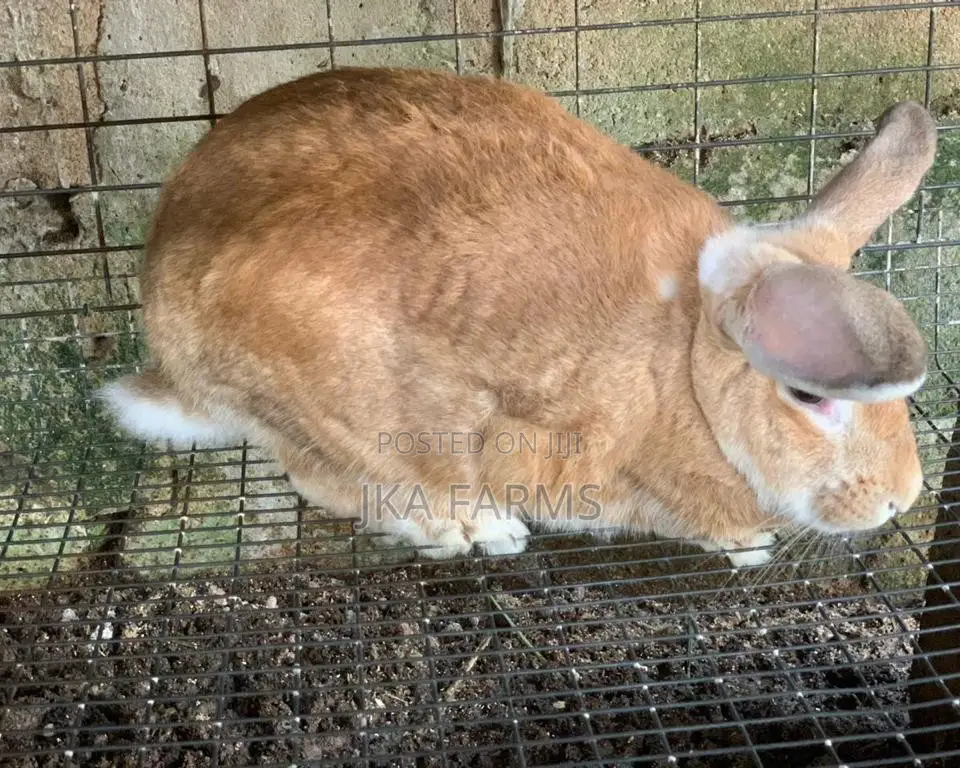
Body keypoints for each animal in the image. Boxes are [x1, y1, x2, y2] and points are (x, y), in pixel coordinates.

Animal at [98, 66, 936, 567]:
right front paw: (747, 542)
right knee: (331, 480)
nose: (903, 497)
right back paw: (477, 530)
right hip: (341, 416)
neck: (685, 370)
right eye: (809, 396)